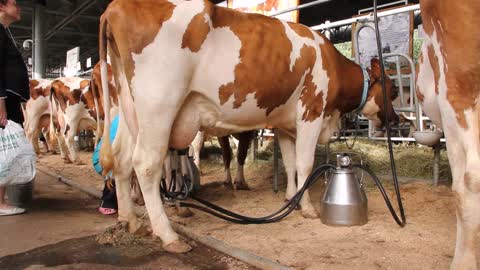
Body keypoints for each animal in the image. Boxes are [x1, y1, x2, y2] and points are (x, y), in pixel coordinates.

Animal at [97, 0, 398, 253]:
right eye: (393, 90)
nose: (396, 119)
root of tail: (114, 7)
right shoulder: (310, 114)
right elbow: (304, 164)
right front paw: (308, 208)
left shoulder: (284, 125)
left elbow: (290, 163)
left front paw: (291, 198)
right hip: (159, 105)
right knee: (146, 164)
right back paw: (168, 235)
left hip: (129, 109)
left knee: (122, 161)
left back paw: (132, 221)